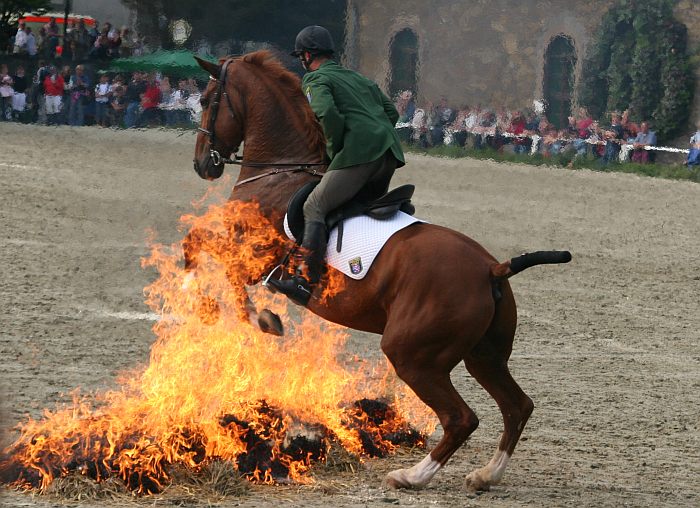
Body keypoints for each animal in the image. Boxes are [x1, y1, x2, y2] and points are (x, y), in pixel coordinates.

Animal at [189, 49, 572, 490]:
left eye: (205, 101)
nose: (202, 164)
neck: (279, 173)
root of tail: (491, 268)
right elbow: (200, 244)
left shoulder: (250, 258)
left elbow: (200, 246)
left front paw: (246, 314)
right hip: (484, 356)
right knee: (517, 407)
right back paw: (486, 474)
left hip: (413, 355)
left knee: (461, 418)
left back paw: (413, 475)